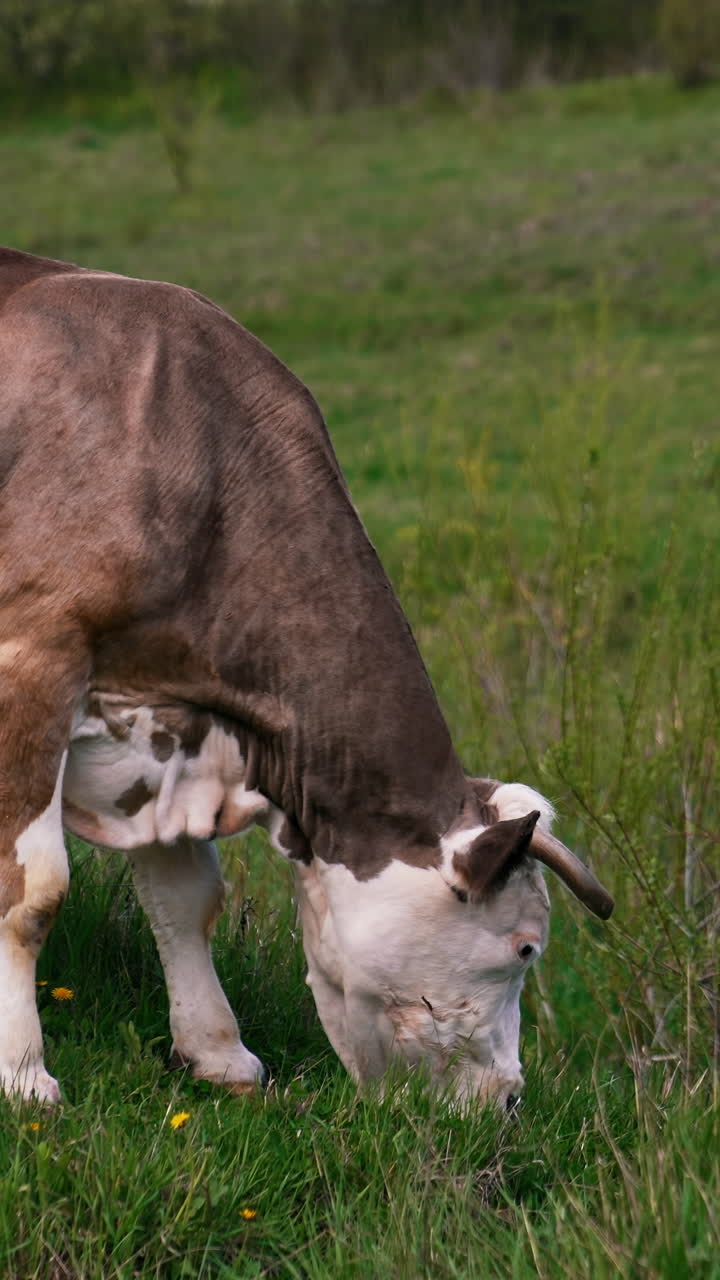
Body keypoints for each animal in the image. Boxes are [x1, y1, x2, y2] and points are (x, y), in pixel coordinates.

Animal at [0, 247, 613, 1109]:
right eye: (526, 947)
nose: (509, 1097)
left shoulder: (168, 722)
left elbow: (187, 899)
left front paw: (219, 1051)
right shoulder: (33, 653)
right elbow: (33, 894)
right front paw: (23, 1074)